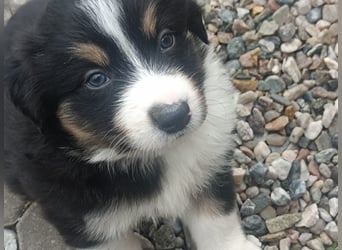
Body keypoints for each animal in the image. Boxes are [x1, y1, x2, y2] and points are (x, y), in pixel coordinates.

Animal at [4, 0, 260, 250]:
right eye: (95, 79)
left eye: (166, 40)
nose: (175, 116)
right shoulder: (87, 221)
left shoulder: (209, 167)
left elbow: (217, 222)